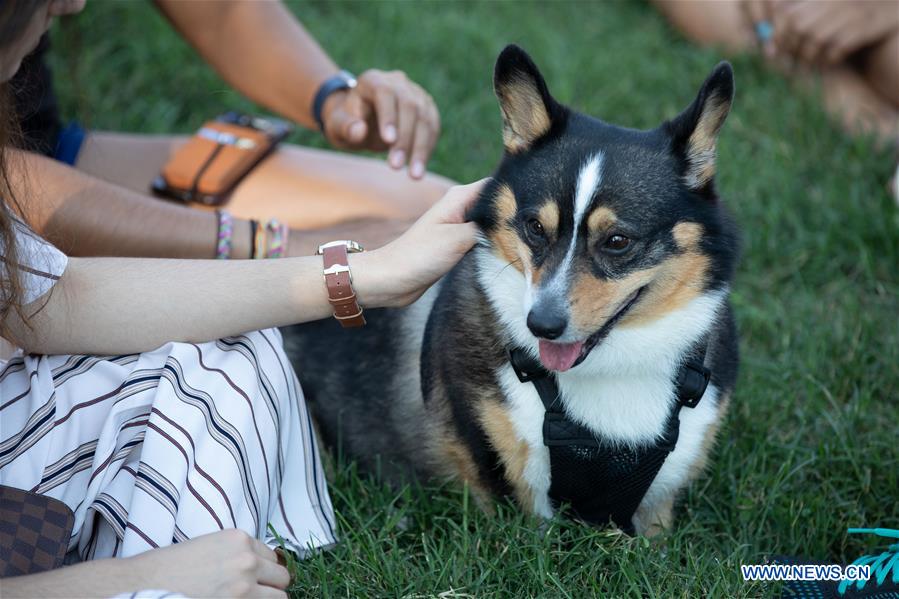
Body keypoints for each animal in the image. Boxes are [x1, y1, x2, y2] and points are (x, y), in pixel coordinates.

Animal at [284, 45, 740, 536]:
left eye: (618, 241)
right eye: (535, 227)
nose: (542, 325)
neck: (616, 366)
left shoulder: (658, 504)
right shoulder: (513, 499)